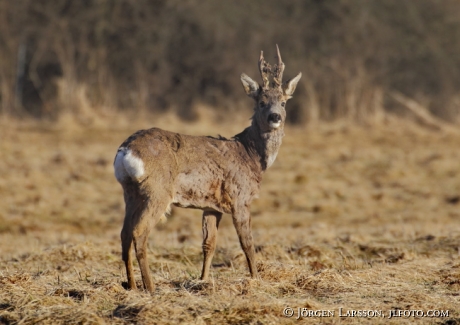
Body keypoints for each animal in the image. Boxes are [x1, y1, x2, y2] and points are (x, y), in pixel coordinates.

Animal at [114, 45, 302, 292]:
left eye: (283, 102)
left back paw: (132, 286)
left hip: (130, 192)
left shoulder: (212, 206)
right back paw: (151, 287)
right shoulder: (240, 198)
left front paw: (202, 281)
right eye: (261, 102)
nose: (275, 117)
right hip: (157, 191)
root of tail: (126, 149)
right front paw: (255, 280)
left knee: (124, 232)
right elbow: (247, 243)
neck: (250, 155)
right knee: (139, 232)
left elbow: (208, 244)